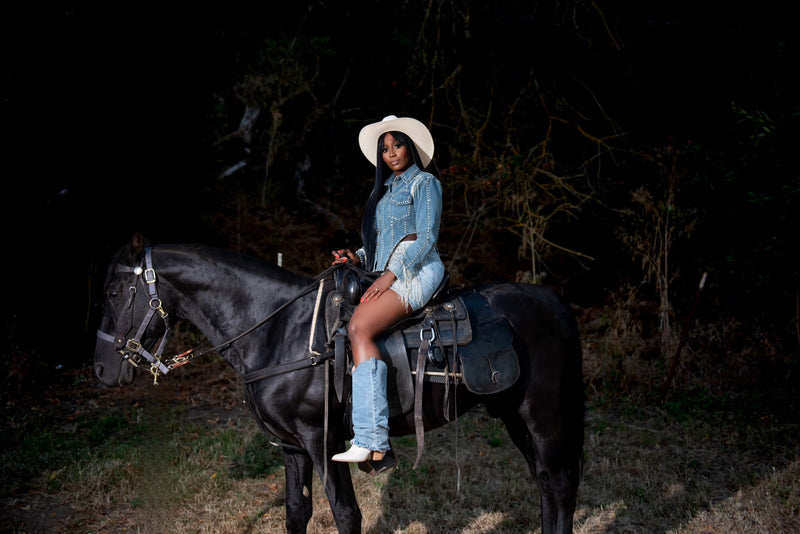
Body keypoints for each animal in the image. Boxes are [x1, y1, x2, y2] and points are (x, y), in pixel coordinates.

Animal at [94, 241, 584, 532]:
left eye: (116, 293)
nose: (101, 369)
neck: (278, 331)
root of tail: (554, 302)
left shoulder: (322, 439)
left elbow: (346, 514)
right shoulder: (291, 447)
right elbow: (297, 514)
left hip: (542, 416)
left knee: (559, 486)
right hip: (514, 416)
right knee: (546, 485)